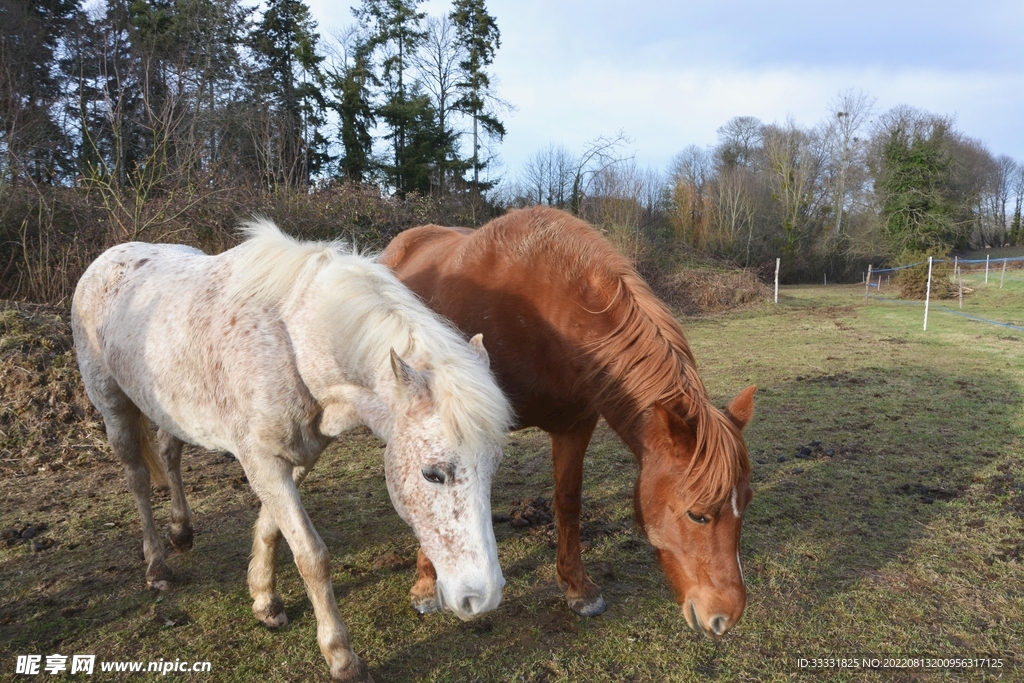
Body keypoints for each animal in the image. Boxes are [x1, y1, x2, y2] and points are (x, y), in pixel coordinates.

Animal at [71, 220, 513, 682]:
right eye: (432, 474)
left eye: (493, 468)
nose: (482, 597)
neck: (292, 342)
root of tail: (109, 258)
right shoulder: (263, 460)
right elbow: (311, 555)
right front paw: (341, 656)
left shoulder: (297, 454)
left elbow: (271, 528)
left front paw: (264, 600)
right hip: (114, 407)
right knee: (137, 478)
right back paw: (156, 565)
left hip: (168, 407)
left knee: (169, 452)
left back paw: (181, 531)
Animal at [380, 205, 755, 638]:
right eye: (698, 514)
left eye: (746, 501)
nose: (725, 616)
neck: (545, 315)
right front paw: (426, 585)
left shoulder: (576, 425)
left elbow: (568, 501)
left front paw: (577, 587)